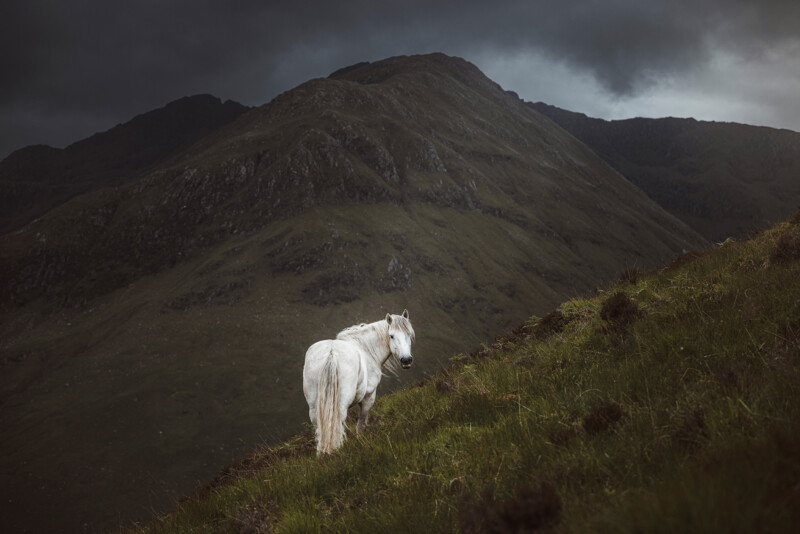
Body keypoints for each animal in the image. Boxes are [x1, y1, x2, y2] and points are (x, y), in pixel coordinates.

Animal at [304, 310, 416, 456]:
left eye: (409, 334)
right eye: (391, 336)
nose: (406, 360)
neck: (366, 349)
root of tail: (331, 354)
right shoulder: (369, 397)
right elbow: (361, 425)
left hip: (314, 406)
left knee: (319, 429)